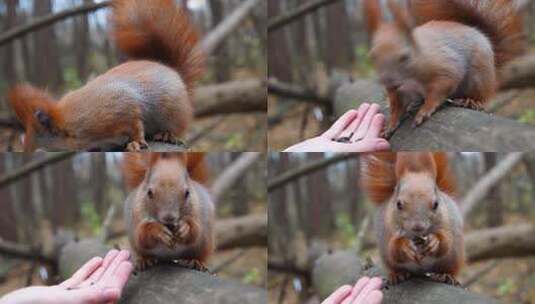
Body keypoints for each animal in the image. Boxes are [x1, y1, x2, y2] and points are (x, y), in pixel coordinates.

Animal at [8, 0, 205, 151]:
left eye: (35, 134)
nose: (21, 147)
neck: (68, 123)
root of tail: (172, 71)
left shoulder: (117, 107)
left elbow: (134, 124)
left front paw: (136, 142)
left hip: (173, 111)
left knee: (177, 126)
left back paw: (166, 133)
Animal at [360, 153, 464, 286]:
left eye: (436, 204)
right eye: (398, 204)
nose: (418, 226)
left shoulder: (446, 223)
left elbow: (446, 242)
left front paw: (434, 241)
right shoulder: (389, 228)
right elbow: (393, 249)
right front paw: (405, 247)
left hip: (453, 257)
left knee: (450, 267)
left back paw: (446, 275)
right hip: (387, 259)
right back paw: (398, 275)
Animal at [362, 0, 524, 135]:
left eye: (405, 57)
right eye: (372, 56)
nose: (387, 79)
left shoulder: (445, 66)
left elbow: (442, 86)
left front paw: (425, 110)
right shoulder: (398, 90)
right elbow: (397, 107)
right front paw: (390, 124)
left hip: (478, 75)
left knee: (481, 96)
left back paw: (470, 101)